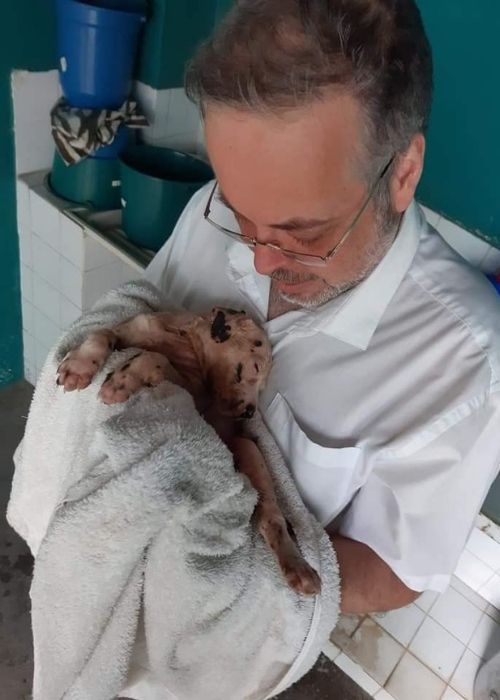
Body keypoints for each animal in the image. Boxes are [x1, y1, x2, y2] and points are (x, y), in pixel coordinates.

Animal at [57, 308, 320, 596]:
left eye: (262, 385)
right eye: (255, 368)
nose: (250, 412)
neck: (183, 336)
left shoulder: (191, 393)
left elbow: (155, 358)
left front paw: (120, 381)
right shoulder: (129, 331)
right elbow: (101, 333)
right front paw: (79, 365)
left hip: (250, 450)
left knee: (271, 518)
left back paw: (300, 569)